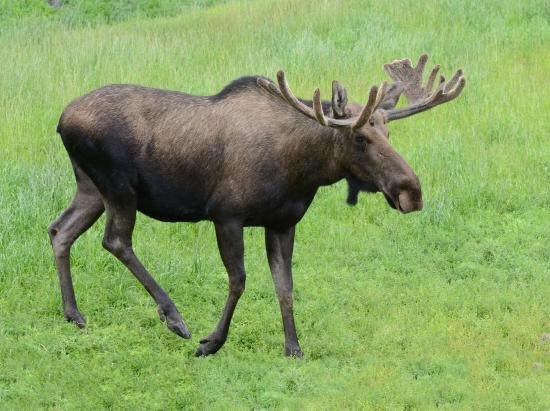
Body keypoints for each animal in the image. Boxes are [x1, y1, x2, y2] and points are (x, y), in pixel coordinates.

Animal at [49, 54, 468, 358]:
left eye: (388, 131)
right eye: (360, 138)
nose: (411, 191)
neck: (301, 171)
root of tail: (61, 119)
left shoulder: (282, 222)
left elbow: (285, 286)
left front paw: (293, 347)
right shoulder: (226, 215)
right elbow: (239, 280)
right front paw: (212, 342)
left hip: (90, 187)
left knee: (60, 230)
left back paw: (74, 314)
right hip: (118, 186)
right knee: (115, 240)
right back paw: (175, 318)